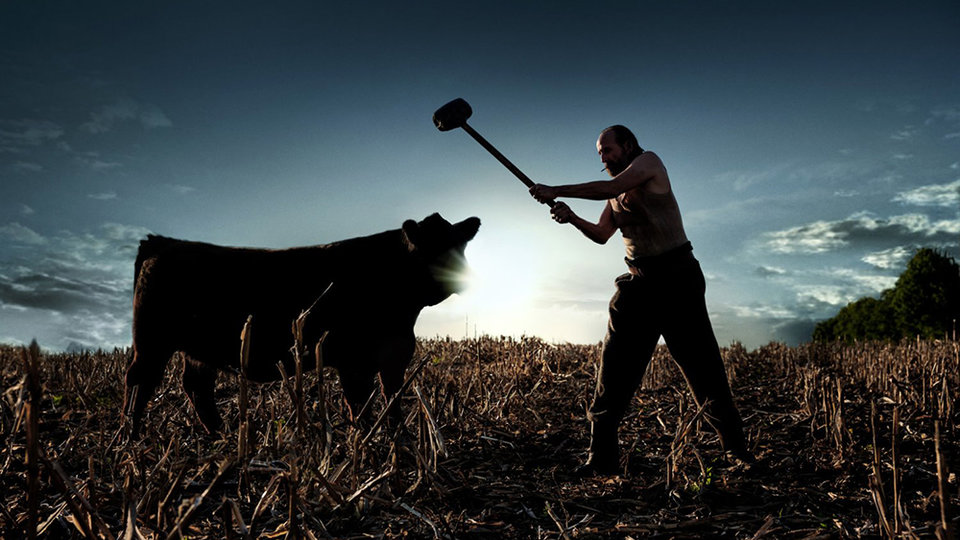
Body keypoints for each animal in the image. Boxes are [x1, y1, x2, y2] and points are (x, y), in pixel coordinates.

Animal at [125, 214, 478, 434]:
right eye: (433, 248)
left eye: (459, 245)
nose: (462, 276)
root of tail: (164, 242)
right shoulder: (355, 358)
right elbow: (363, 401)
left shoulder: (390, 353)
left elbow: (383, 397)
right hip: (151, 343)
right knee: (140, 382)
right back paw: (132, 438)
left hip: (197, 350)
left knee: (196, 388)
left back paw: (219, 435)